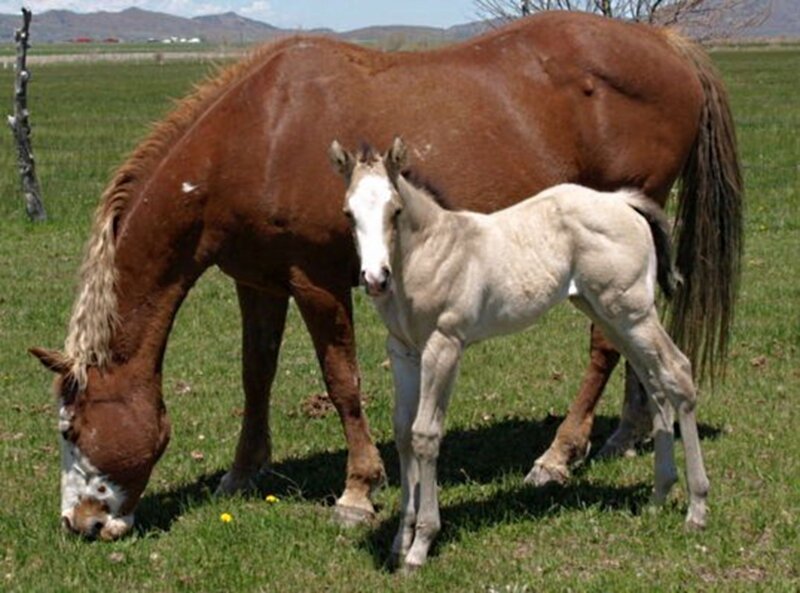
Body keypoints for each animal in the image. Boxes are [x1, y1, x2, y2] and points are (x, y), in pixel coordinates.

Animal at [329, 138, 709, 570]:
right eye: (348, 213)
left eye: (394, 210)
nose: (375, 278)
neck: (430, 253)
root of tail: (622, 201)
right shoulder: (403, 351)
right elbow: (402, 433)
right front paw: (399, 541)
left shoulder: (444, 345)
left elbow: (425, 434)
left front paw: (421, 545)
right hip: (609, 313)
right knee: (655, 382)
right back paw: (659, 496)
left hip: (633, 312)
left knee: (677, 372)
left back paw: (697, 508)